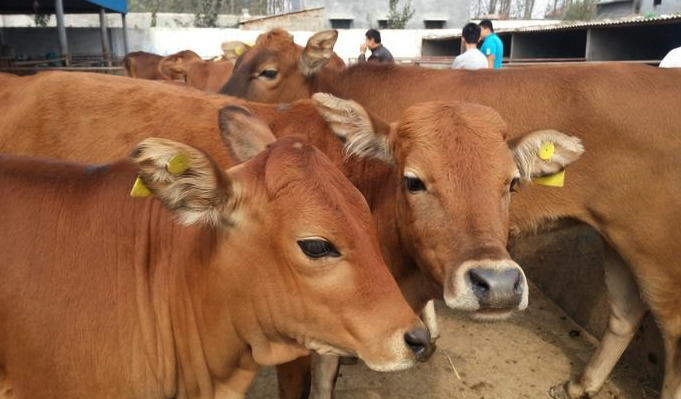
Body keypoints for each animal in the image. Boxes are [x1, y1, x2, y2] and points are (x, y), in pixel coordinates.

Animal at [219, 28, 680, 399]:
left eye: (267, 72)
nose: (227, 98)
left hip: (658, 249)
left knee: (672, 332)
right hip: (617, 237)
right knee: (625, 313)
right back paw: (581, 383)